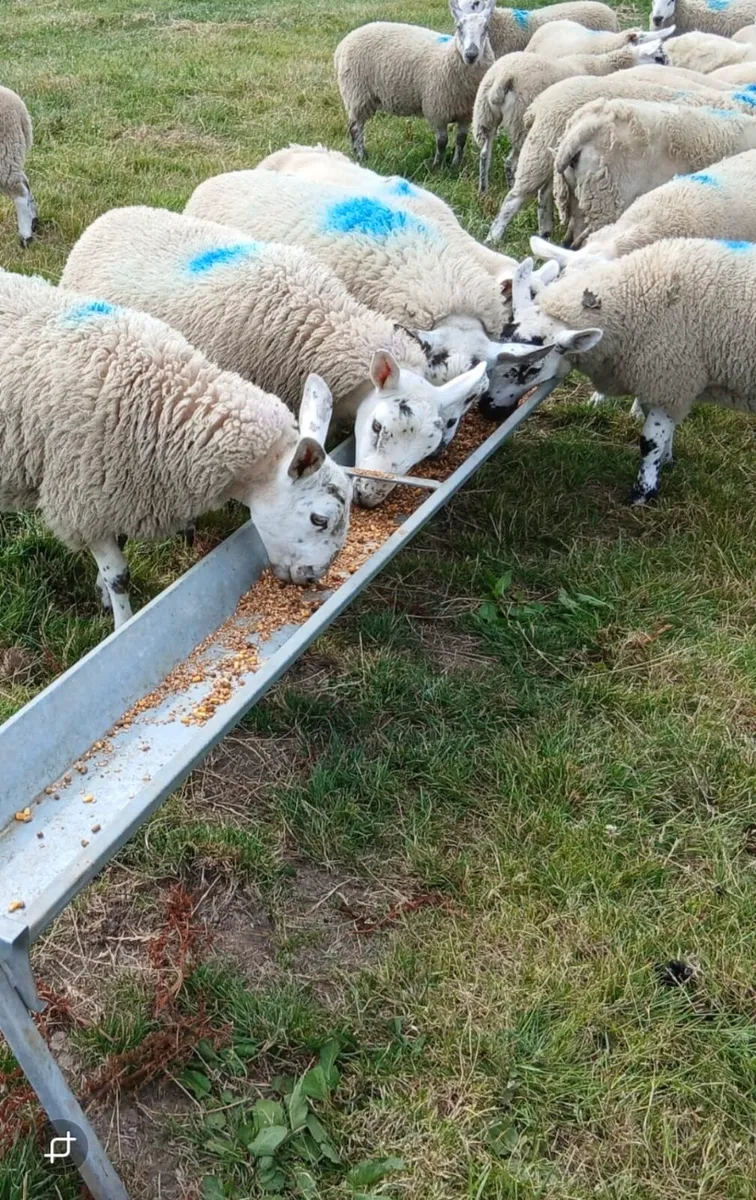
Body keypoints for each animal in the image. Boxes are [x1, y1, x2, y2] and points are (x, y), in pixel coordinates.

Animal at [0, 269, 353, 627]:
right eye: (318, 520)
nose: (312, 577)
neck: (165, 401)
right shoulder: (82, 500)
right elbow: (119, 576)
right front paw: (123, 623)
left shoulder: (116, 492)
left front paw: (102, 592)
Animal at [334, 0, 496, 168]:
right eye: (458, 27)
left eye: (486, 28)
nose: (471, 54)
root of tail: (343, 43)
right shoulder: (436, 111)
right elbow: (442, 141)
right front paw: (437, 167)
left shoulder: (466, 114)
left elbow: (461, 140)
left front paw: (455, 165)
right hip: (356, 94)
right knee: (355, 128)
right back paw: (360, 156)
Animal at [472, 41, 674, 194]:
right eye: (659, 58)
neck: (602, 65)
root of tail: (502, 77)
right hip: (520, 123)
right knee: (511, 162)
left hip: (485, 115)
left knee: (484, 153)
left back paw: (483, 190)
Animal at [488, 242, 756, 503]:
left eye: (532, 369)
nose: (486, 409)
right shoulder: (664, 385)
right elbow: (664, 432)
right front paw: (667, 461)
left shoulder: (669, 378)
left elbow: (650, 441)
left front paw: (643, 493)